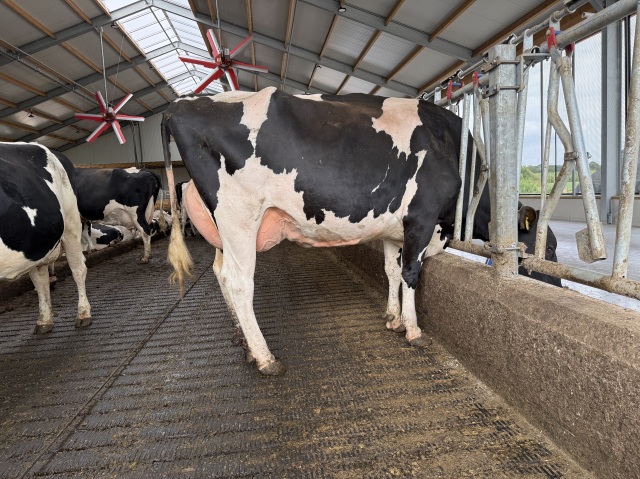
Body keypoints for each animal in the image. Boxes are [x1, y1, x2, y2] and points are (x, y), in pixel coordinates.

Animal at [0, 142, 92, 333]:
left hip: (71, 226)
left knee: (78, 269)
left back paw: (83, 314)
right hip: (37, 243)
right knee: (40, 278)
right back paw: (44, 320)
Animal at [161, 87, 560, 376]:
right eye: (549, 249)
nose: (557, 283)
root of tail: (180, 104)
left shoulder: (393, 230)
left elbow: (391, 271)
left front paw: (392, 318)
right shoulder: (421, 217)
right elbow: (411, 273)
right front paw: (413, 330)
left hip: (221, 226)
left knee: (220, 274)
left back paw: (243, 341)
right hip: (239, 215)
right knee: (240, 281)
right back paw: (264, 357)